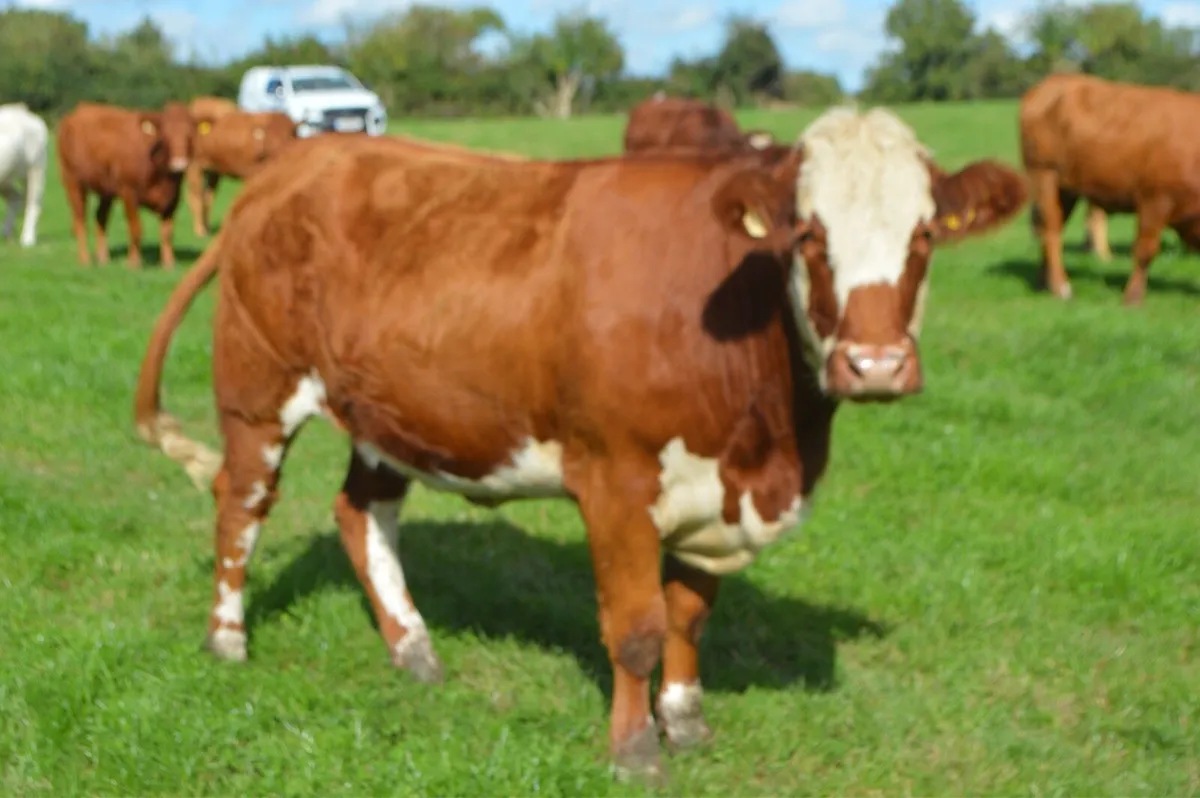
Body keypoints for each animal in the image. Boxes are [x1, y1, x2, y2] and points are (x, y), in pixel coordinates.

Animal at [0, 102, 48, 248]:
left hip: (36, 167)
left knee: (33, 202)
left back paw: (28, 239)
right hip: (6, 177)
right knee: (15, 197)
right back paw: (6, 233)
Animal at [57, 101, 195, 270]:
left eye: (190, 135)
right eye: (165, 136)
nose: (179, 164)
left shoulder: (174, 197)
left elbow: (167, 232)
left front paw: (169, 263)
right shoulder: (129, 192)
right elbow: (136, 228)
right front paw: (134, 262)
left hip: (106, 189)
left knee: (100, 217)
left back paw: (103, 258)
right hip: (73, 182)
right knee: (80, 220)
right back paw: (85, 259)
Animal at [131, 107, 1027, 782]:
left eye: (924, 237)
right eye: (807, 234)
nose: (874, 364)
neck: (770, 440)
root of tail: (290, 165)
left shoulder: (714, 493)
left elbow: (688, 617)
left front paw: (686, 721)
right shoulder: (617, 480)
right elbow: (635, 626)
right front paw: (634, 750)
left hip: (390, 412)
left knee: (360, 514)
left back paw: (412, 647)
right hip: (258, 392)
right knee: (241, 505)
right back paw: (227, 637)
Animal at [1020, 72, 1200, 304]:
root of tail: (1055, 80)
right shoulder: (1154, 200)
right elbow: (1145, 250)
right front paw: (1133, 296)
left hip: (1066, 190)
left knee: (1052, 228)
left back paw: (1044, 283)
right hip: (1044, 175)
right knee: (1050, 230)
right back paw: (1061, 288)